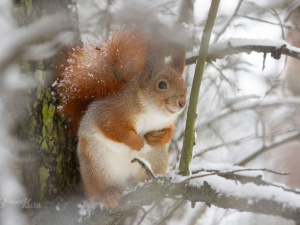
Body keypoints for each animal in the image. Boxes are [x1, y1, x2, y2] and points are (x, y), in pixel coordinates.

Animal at [55, 27, 188, 208]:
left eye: (184, 84)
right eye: (162, 85)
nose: (182, 103)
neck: (151, 111)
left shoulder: (166, 122)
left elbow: (169, 131)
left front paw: (158, 137)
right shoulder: (111, 112)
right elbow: (113, 129)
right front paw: (136, 142)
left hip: (156, 158)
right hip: (98, 166)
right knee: (99, 189)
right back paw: (108, 194)